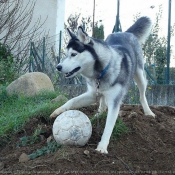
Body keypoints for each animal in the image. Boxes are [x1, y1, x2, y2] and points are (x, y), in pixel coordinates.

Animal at [50, 16, 154, 153]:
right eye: (66, 55)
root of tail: (125, 32)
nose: (58, 67)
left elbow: (109, 126)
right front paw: (57, 111)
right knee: (102, 102)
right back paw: (97, 115)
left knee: (142, 95)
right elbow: (72, 101)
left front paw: (102, 146)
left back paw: (148, 112)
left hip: (140, 75)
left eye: (73, 54)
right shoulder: (91, 94)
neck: (101, 73)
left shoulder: (114, 102)